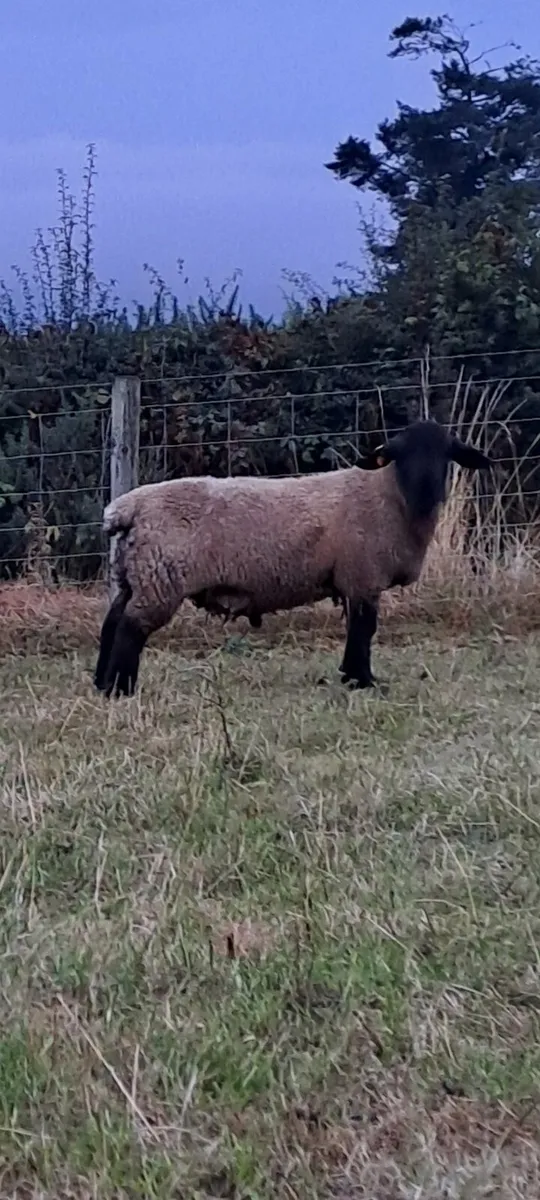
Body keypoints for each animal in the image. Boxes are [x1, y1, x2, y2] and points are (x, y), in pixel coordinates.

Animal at [93, 419, 492, 699]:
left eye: (446, 455)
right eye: (402, 456)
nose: (429, 491)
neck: (390, 496)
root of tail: (127, 507)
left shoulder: (355, 580)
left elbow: (357, 629)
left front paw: (350, 677)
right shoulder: (361, 575)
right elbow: (364, 630)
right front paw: (362, 681)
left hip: (134, 574)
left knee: (112, 623)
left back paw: (101, 684)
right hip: (160, 578)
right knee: (131, 627)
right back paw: (121, 690)